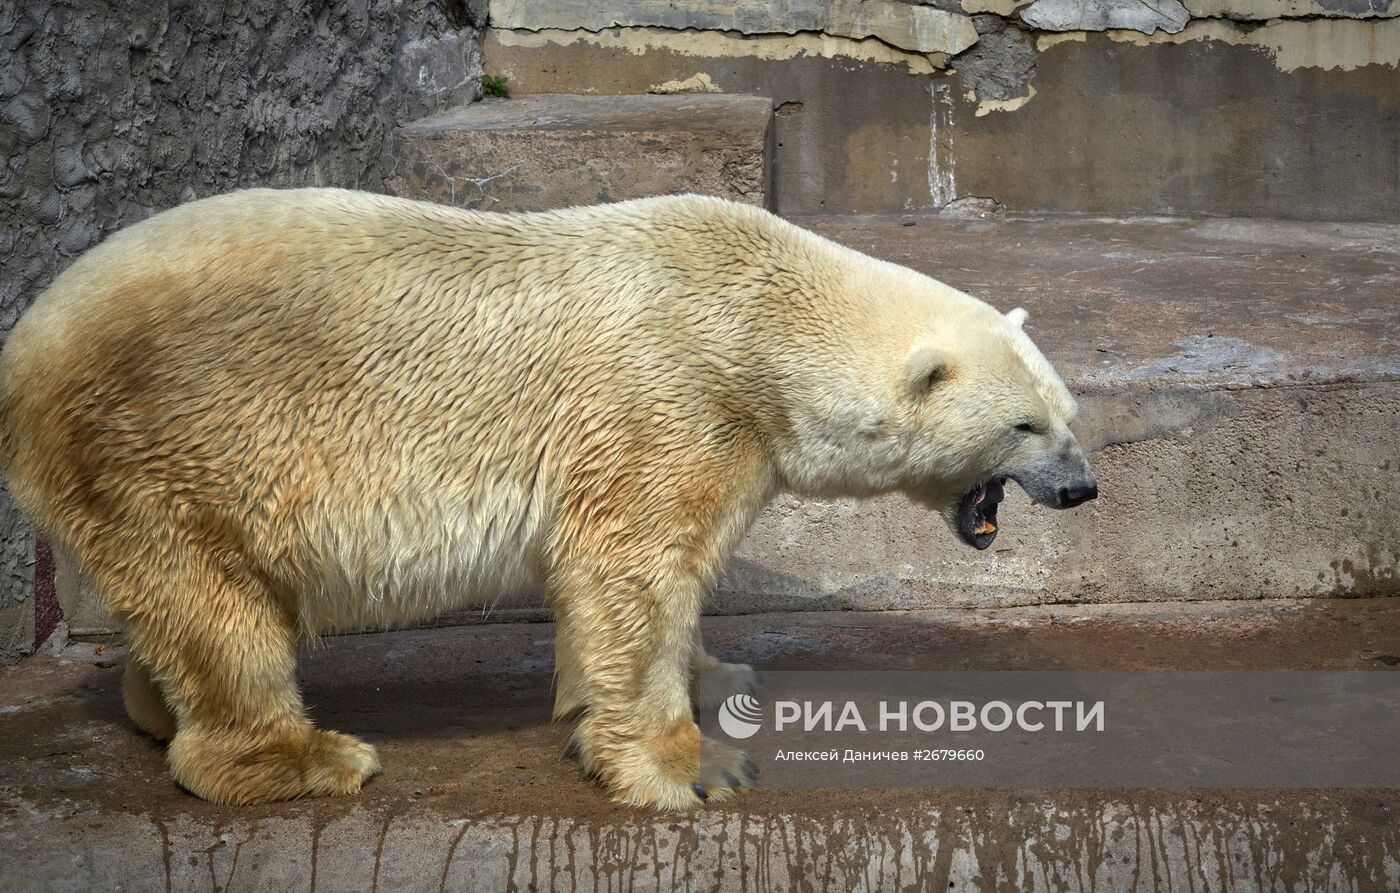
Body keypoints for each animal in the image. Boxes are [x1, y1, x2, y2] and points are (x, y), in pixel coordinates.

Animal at [0, 193, 1092, 817]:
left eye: (1066, 412)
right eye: (1026, 425)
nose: (1081, 486)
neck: (757, 321)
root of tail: (23, 349)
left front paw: (719, 672)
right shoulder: (668, 398)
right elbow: (631, 571)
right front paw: (690, 767)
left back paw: (151, 703)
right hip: (167, 439)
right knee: (215, 603)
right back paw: (309, 755)